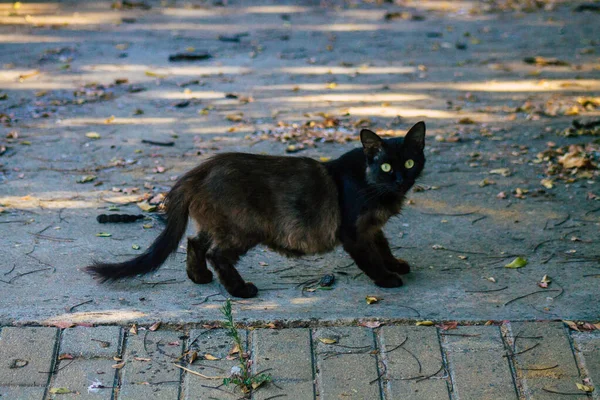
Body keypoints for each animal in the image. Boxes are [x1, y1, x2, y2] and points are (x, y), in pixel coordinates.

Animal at [86, 122, 426, 296]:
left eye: (410, 162)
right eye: (386, 166)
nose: (400, 179)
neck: (372, 185)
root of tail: (198, 170)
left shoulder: (372, 227)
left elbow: (383, 246)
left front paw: (395, 265)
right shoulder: (354, 232)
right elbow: (370, 258)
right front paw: (387, 278)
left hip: (218, 224)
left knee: (195, 243)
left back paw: (199, 277)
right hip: (244, 228)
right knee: (216, 254)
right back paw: (239, 289)